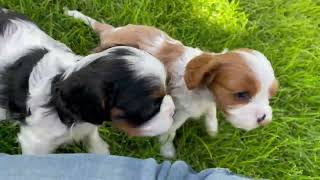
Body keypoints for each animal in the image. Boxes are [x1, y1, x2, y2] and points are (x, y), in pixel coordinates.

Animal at [65, 9, 280, 158]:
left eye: (270, 96)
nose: (265, 120)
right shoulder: (180, 110)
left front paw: (212, 127)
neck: (202, 91)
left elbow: (210, 110)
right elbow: (169, 130)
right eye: (241, 95)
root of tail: (111, 32)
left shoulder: (207, 102)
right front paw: (167, 150)